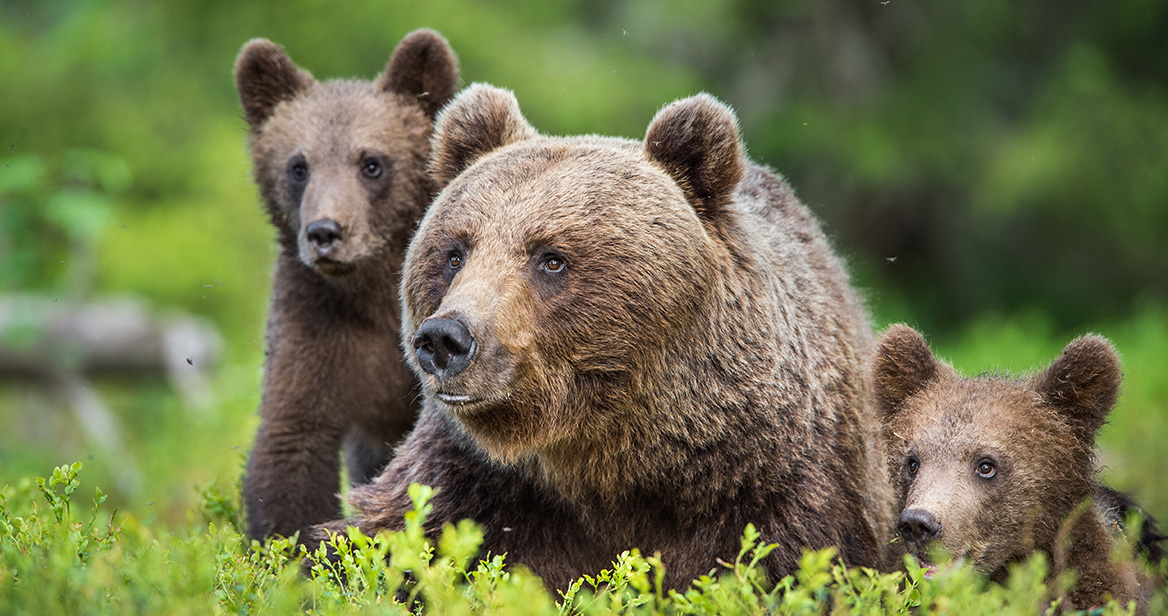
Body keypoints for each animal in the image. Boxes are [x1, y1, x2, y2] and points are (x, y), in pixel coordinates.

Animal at [233, 28, 460, 542]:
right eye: (298, 166)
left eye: (372, 162)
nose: (325, 232)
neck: (375, 294)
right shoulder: (319, 327)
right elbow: (293, 439)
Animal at [313, 84, 892, 591]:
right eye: (455, 253)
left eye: (551, 258)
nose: (445, 338)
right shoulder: (470, 483)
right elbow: (369, 542)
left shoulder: (777, 488)